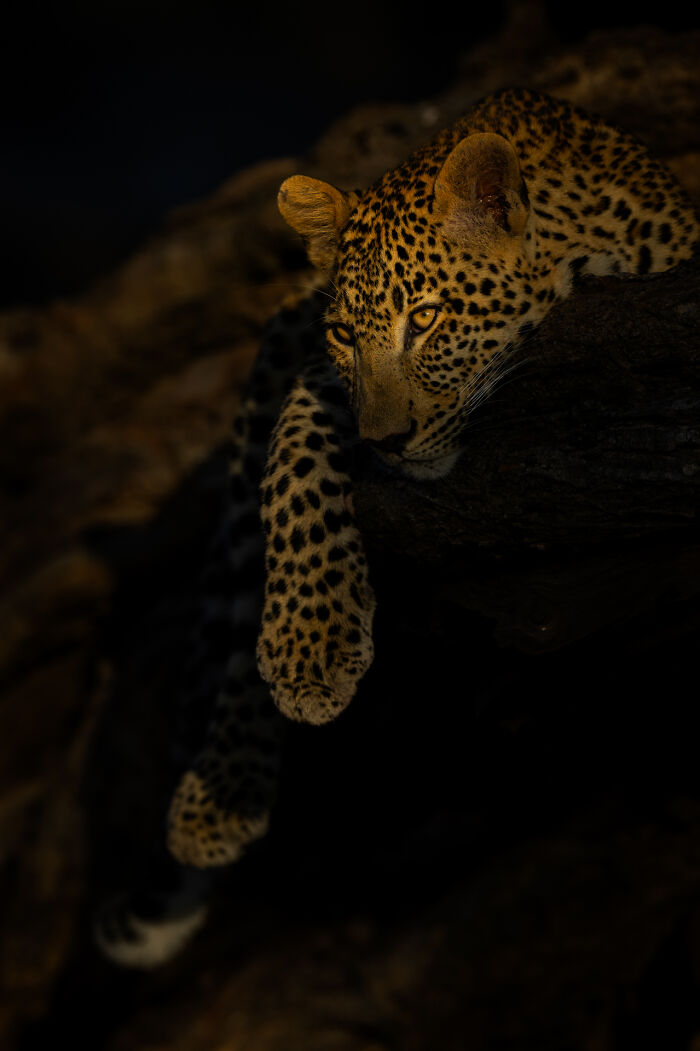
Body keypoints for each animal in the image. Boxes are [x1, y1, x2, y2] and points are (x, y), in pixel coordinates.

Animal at [94, 87, 698, 967]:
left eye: (429, 318)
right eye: (347, 333)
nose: (385, 441)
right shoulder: (316, 375)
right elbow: (293, 464)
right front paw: (309, 647)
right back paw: (221, 797)